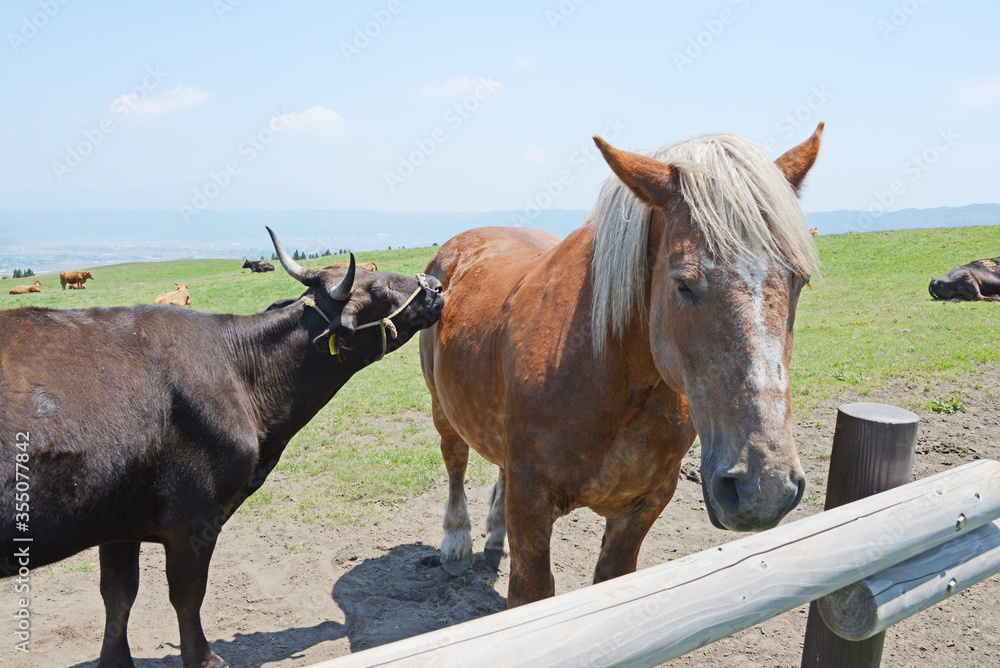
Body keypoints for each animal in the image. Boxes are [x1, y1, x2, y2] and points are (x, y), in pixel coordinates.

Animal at [0, 230, 446, 668]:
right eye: (381, 289)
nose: (436, 287)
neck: (240, 370)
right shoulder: (193, 516)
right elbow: (187, 594)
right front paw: (205, 658)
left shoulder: (118, 520)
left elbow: (118, 594)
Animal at [418, 124, 824, 604]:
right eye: (684, 284)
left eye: (800, 280)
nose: (764, 488)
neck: (611, 378)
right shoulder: (531, 505)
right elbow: (531, 593)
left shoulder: (644, 505)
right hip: (442, 408)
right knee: (455, 459)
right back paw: (456, 539)